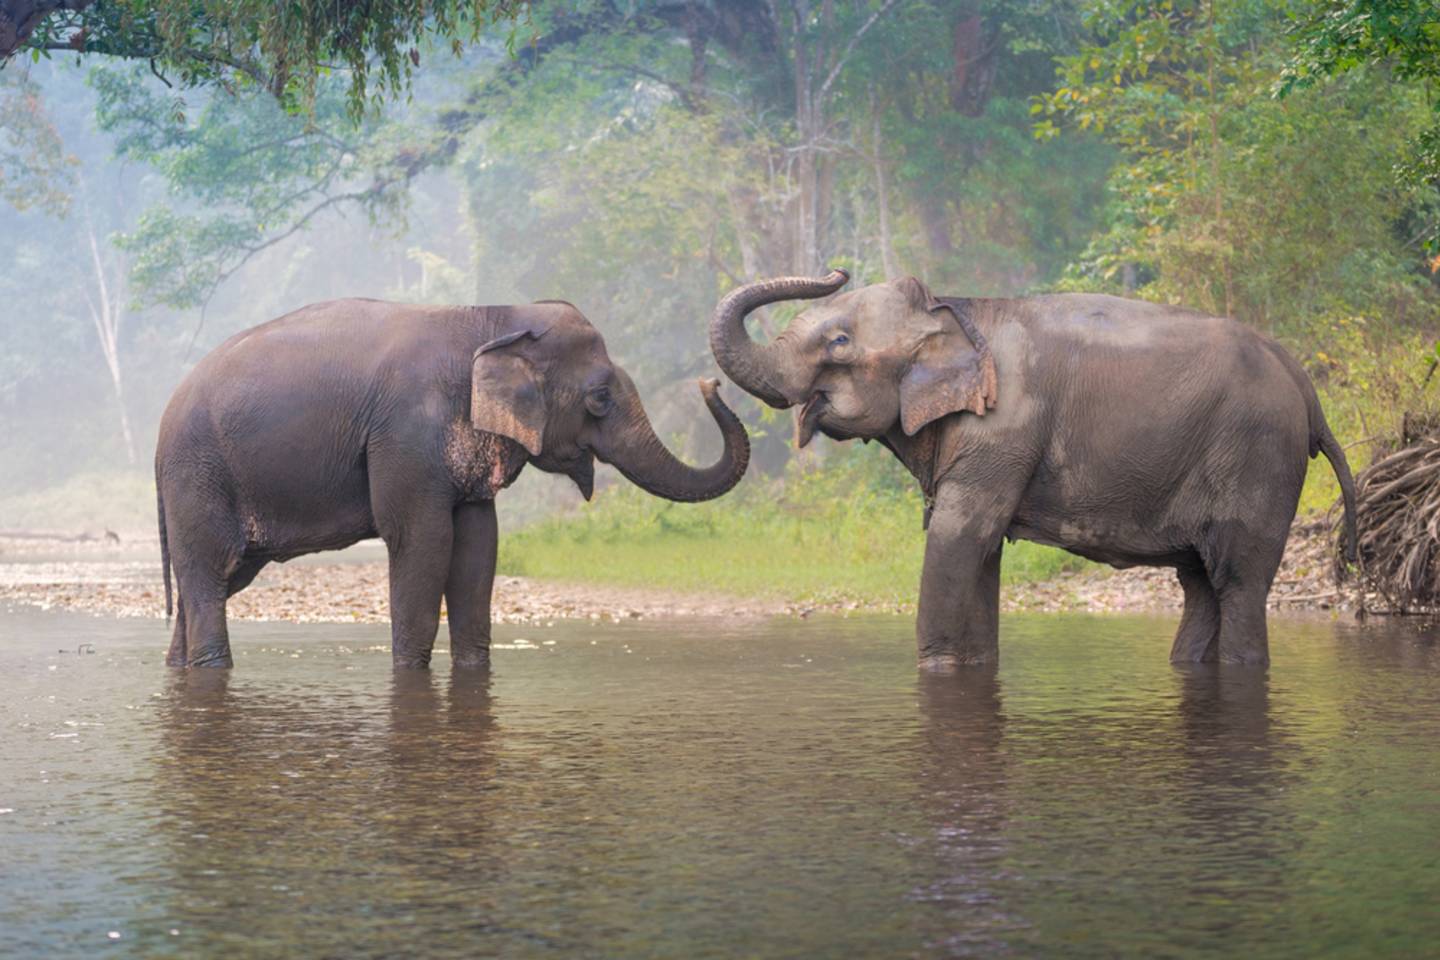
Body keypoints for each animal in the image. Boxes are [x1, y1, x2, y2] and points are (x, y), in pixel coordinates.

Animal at [157, 297, 748, 667]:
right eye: (600, 397)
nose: (711, 383)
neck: (492, 317)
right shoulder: (407, 433)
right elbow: (423, 540)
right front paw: (410, 673)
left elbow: (478, 546)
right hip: (199, 474)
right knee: (209, 574)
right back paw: (212, 667)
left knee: (217, 580)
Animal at [714, 270, 1353, 667]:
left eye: (840, 342)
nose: (837, 269)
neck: (956, 309)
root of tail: (1307, 388)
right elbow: (980, 554)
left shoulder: (1003, 430)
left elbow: (958, 540)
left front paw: (936, 669)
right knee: (1199, 584)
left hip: (1258, 457)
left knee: (1238, 582)